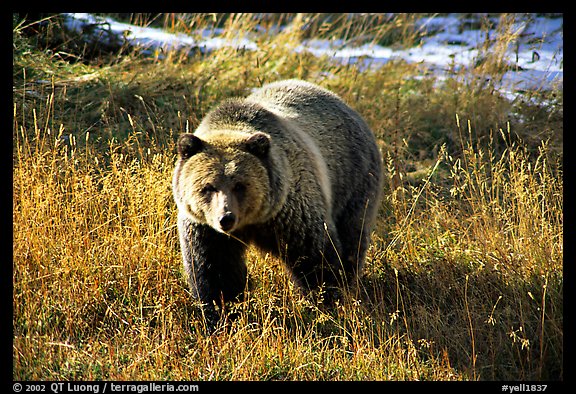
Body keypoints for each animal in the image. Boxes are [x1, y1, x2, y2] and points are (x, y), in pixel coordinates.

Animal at [176, 79, 382, 330]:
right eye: (208, 186)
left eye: (240, 185)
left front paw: (327, 301)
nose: (226, 218)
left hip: (353, 178)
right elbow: (215, 271)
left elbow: (315, 257)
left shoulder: (292, 211)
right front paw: (221, 316)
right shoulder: (206, 229)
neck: (253, 222)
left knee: (353, 234)